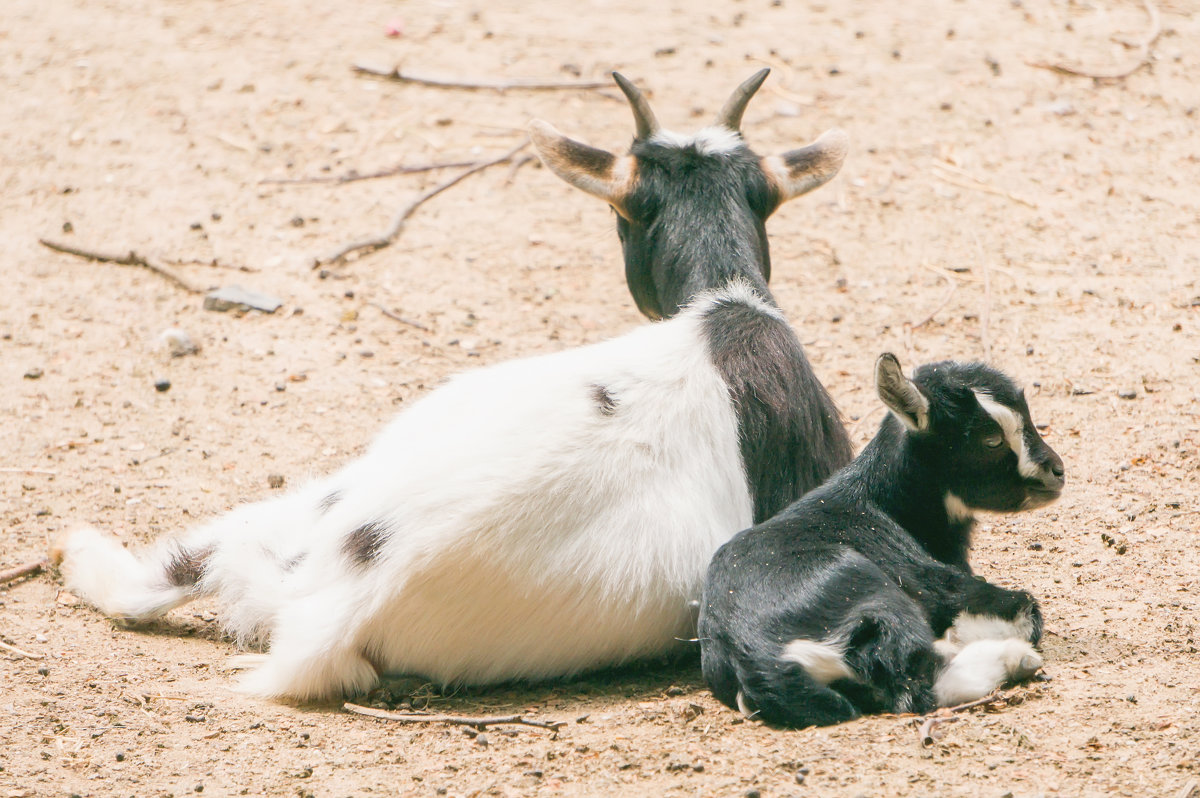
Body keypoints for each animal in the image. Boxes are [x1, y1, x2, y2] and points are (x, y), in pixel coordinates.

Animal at [700, 355, 1065, 729]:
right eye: (991, 440)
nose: (1057, 471)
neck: (880, 501)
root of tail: (758, 659)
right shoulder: (925, 578)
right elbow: (1024, 608)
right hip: (867, 589)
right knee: (922, 681)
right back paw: (1013, 658)